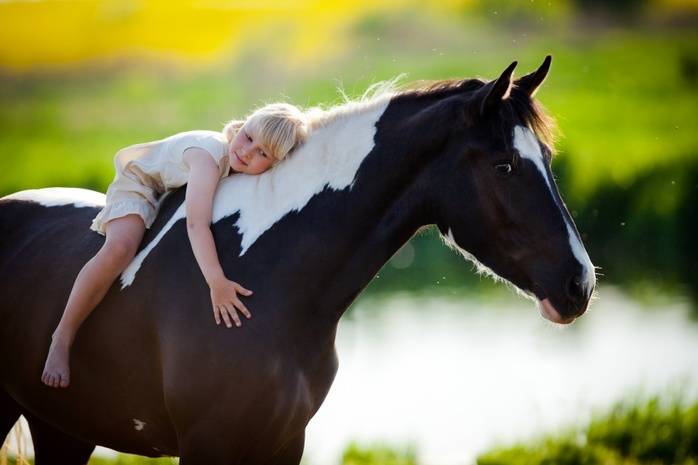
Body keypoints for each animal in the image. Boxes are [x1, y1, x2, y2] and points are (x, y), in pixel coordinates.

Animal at [0, 56, 595, 464]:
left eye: (546, 157)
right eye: (504, 166)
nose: (580, 284)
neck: (269, 278)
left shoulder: (284, 444)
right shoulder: (206, 444)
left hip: (65, 430)